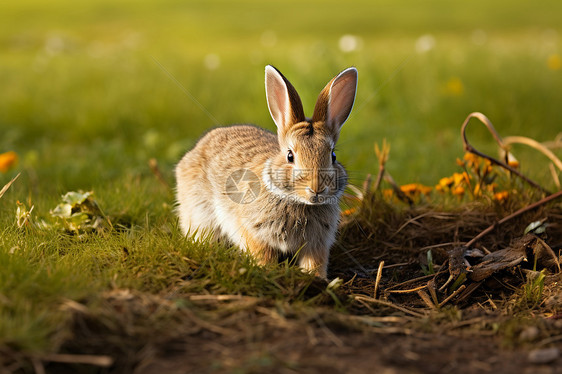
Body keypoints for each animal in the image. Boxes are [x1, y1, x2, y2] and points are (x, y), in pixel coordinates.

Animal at [175, 65, 356, 280]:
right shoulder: (253, 232)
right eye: (290, 156)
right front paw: (268, 271)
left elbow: (315, 262)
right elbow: (263, 254)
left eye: (333, 155)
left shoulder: (317, 243)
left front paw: (317, 278)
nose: (316, 188)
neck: (296, 201)